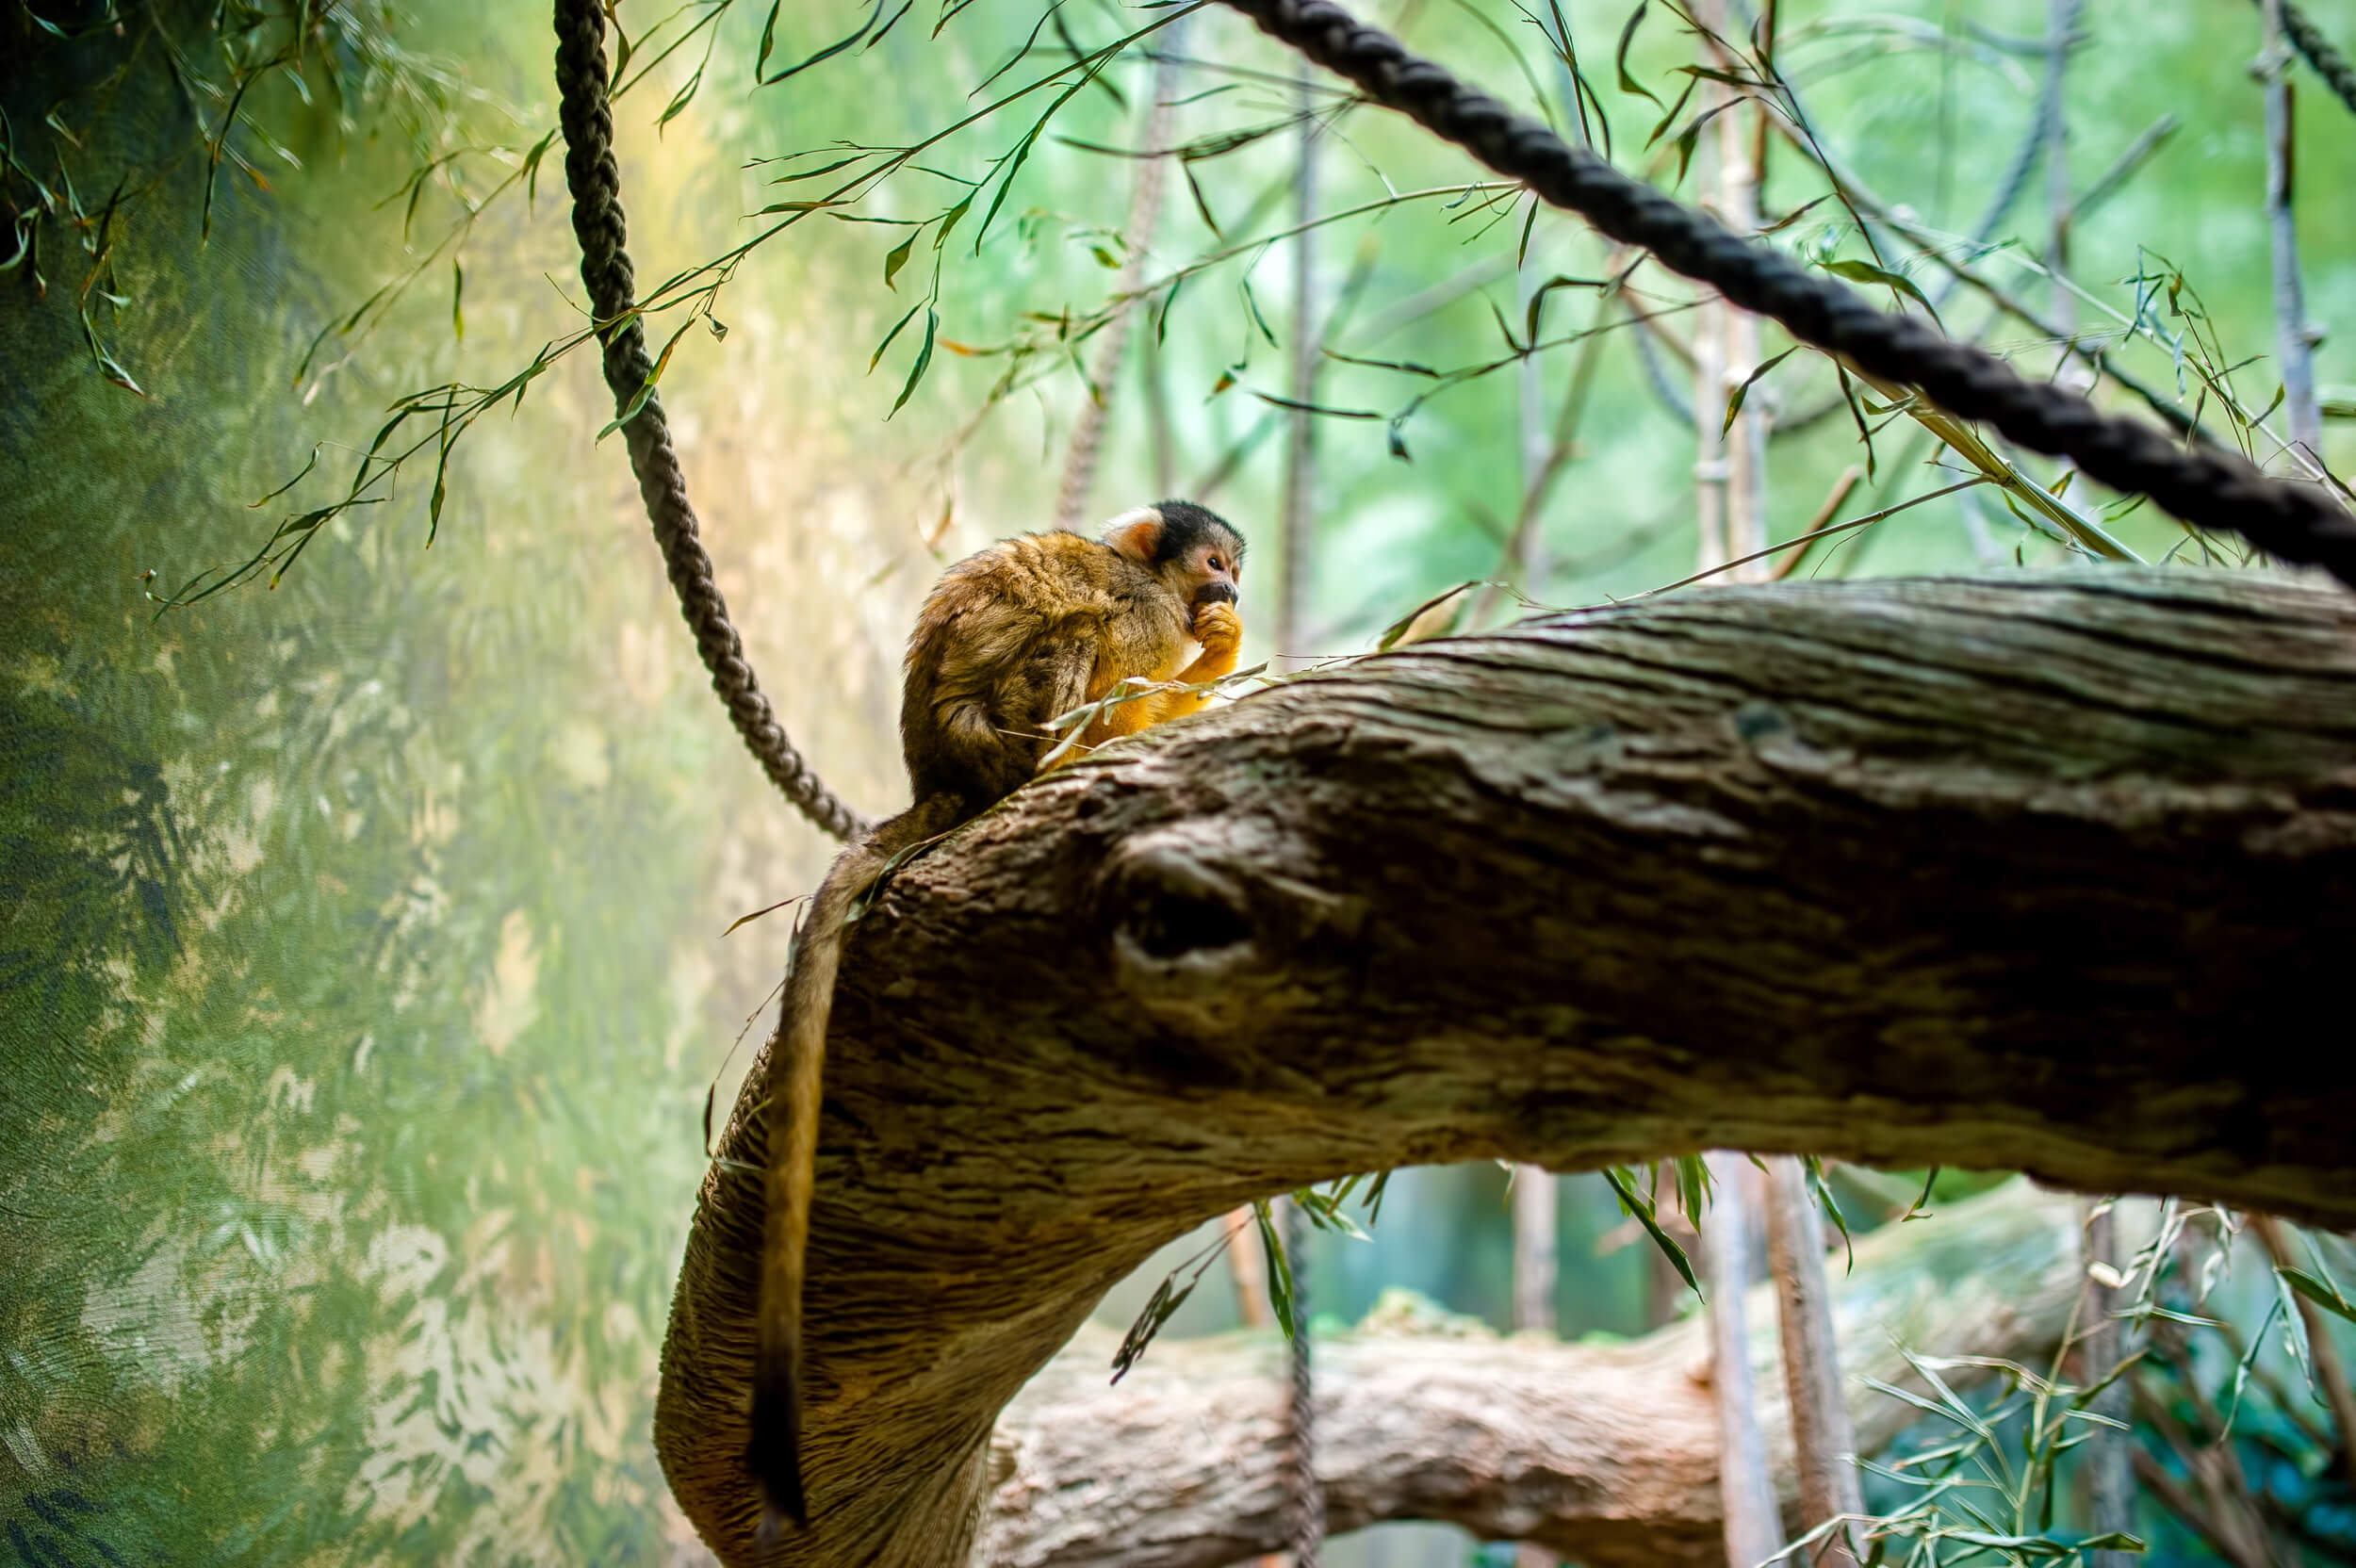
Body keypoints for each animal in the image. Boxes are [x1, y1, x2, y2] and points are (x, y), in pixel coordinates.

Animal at [748, 499, 1246, 1534]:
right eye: (1213, 564)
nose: (1229, 589)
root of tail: (943, 779)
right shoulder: (1147, 609)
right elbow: (1125, 671)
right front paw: (1213, 655)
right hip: (1005, 736)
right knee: (1076, 643)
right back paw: (1065, 756)